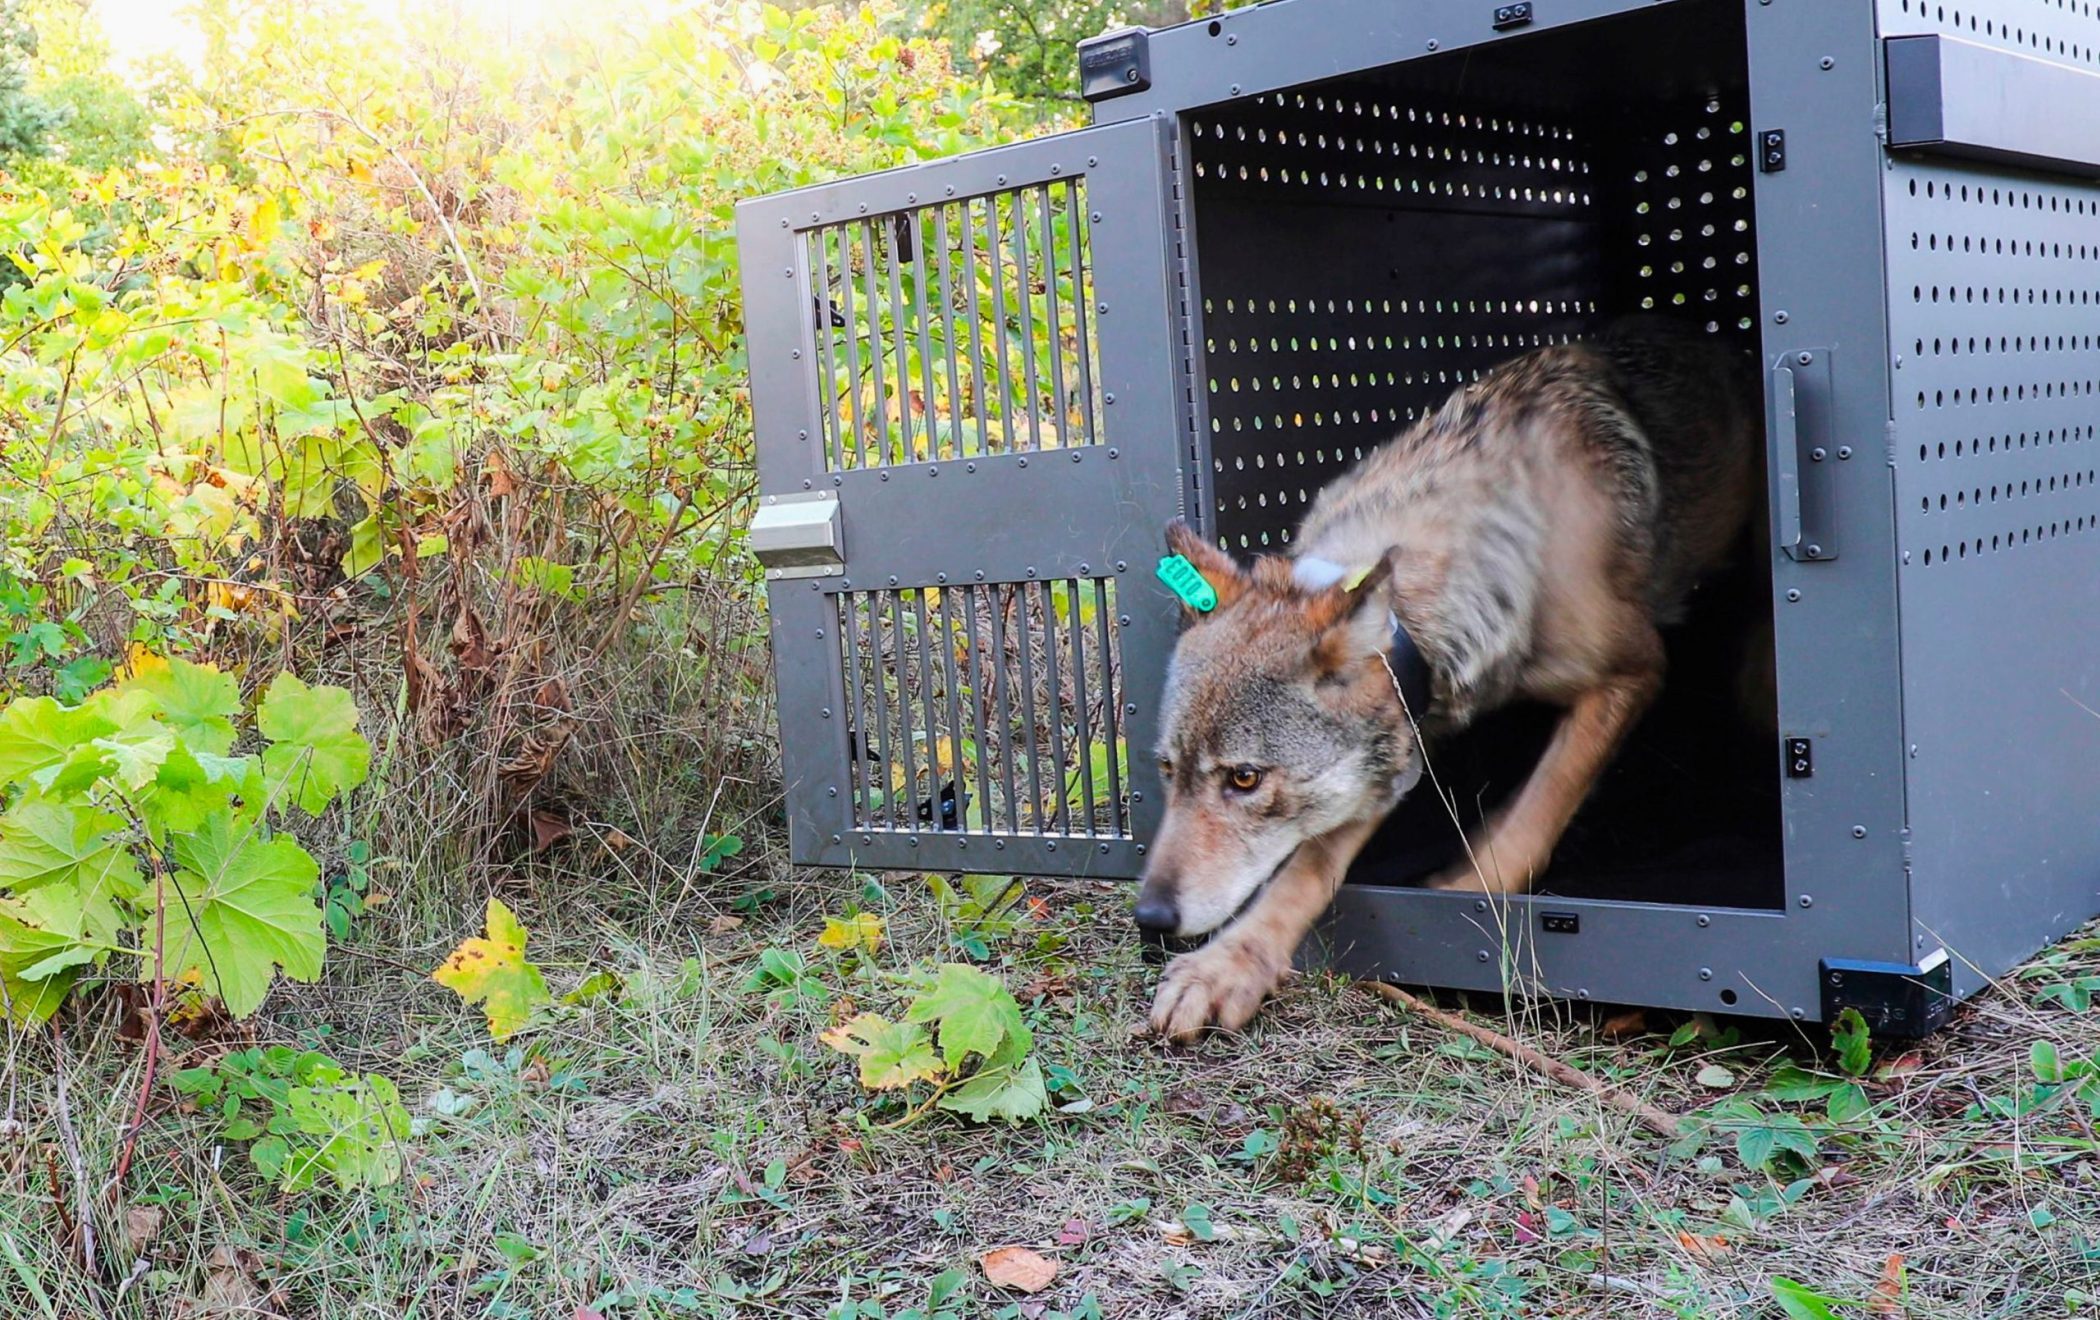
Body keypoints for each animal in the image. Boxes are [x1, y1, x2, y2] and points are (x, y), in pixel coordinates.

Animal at [1136, 318, 1762, 1041]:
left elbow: (1540, 806)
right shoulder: (1403, 736)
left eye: (1244, 779)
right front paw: (1228, 966)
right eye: (1167, 770)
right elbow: (1307, 867)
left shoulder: (1635, 668)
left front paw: (1466, 896)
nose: (1149, 918)